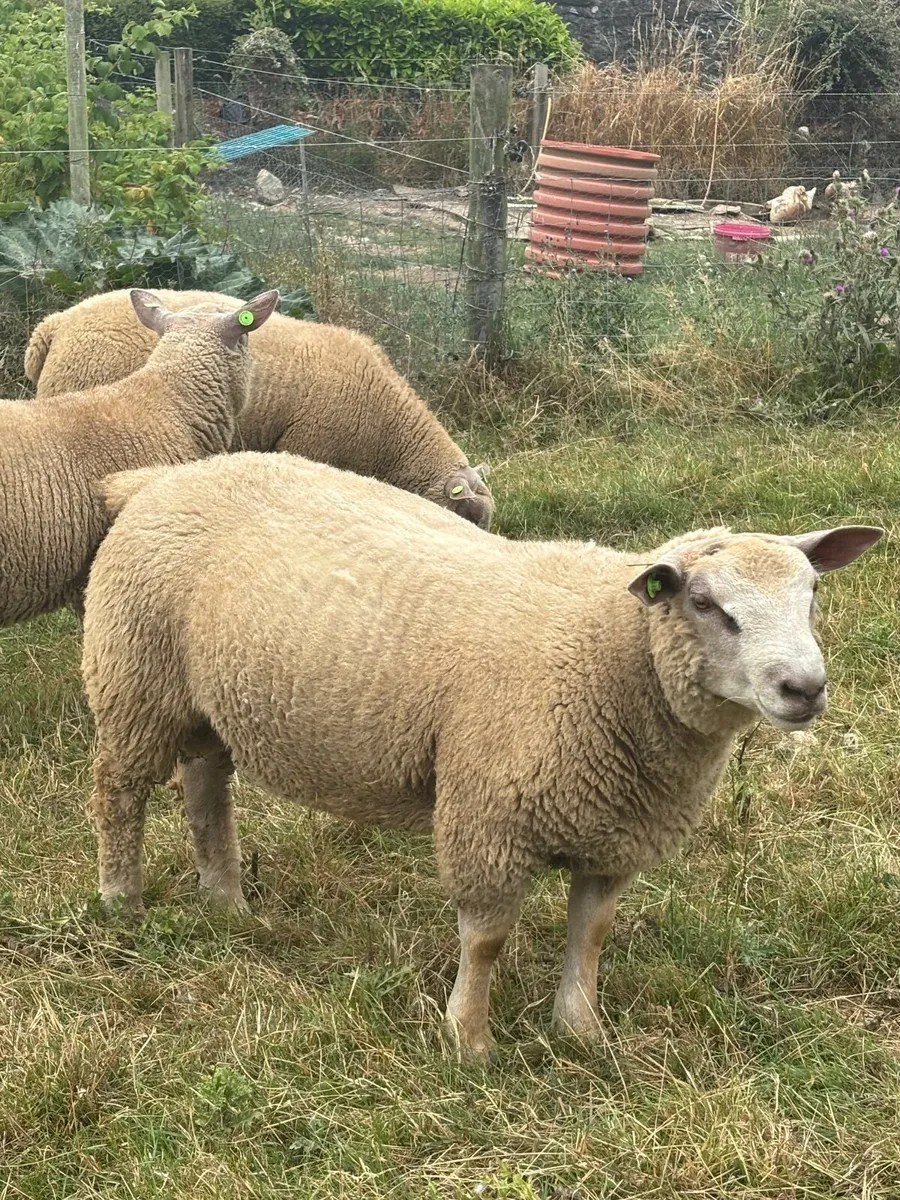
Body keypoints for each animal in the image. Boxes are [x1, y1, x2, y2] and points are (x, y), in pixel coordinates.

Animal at [82, 451, 882, 1053]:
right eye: (707, 604)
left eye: (813, 593)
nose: (804, 688)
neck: (611, 655)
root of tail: (160, 478)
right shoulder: (489, 815)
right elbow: (488, 940)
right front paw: (468, 1041)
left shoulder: (616, 831)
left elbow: (592, 935)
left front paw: (580, 1033)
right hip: (133, 676)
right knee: (118, 791)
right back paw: (122, 901)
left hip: (205, 698)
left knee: (205, 785)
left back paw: (228, 904)